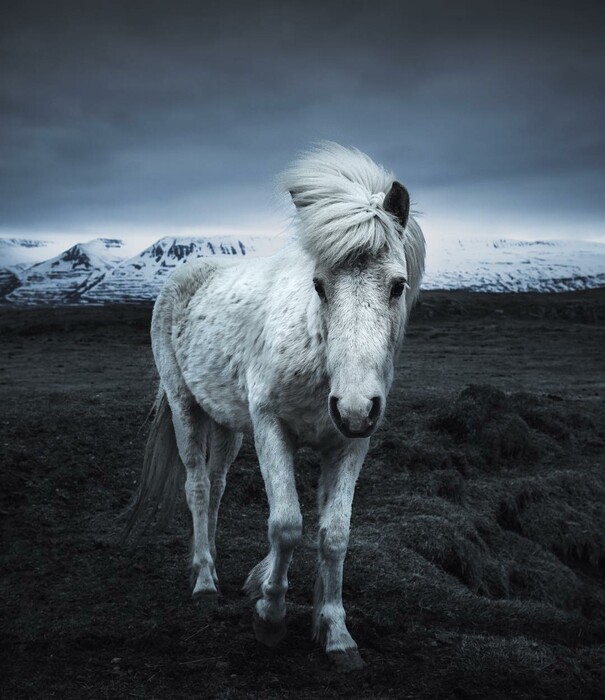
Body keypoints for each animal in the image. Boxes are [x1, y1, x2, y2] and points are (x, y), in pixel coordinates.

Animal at [125, 141, 422, 668]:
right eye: (319, 285)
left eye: (397, 285)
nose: (353, 406)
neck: (317, 353)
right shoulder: (270, 427)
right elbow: (286, 525)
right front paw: (270, 615)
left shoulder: (351, 444)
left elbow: (334, 533)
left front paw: (334, 631)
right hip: (186, 407)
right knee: (197, 486)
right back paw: (204, 581)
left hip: (228, 424)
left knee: (217, 486)